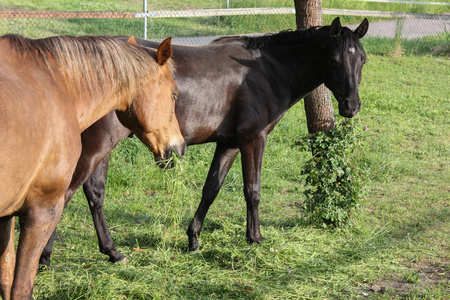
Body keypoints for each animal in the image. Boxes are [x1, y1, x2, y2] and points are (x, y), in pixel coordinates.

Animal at [0, 34, 185, 298]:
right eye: (174, 94)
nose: (180, 148)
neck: (58, 85)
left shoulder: (6, 216)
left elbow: (6, 279)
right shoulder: (41, 211)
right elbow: (21, 287)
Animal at [40, 17, 368, 264]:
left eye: (362, 60)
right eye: (335, 59)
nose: (351, 106)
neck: (265, 69)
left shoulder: (229, 143)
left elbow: (211, 189)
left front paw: (193, 239)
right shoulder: (253, 139)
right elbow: (253, 191)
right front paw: (254, 238)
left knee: (94, 194)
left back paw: (111, 252)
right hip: (99, 145)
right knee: (66, 193)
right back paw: (45, 256)